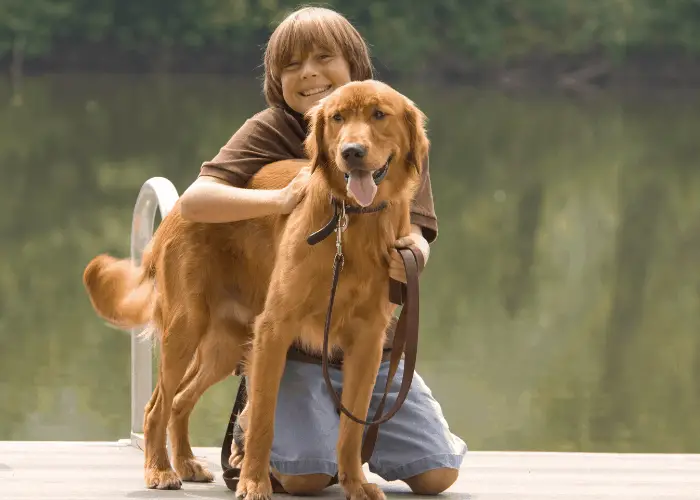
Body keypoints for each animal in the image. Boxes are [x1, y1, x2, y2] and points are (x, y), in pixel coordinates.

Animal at [85, 79, 430, 500]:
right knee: (158, 406)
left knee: (180, 400)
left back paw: (185, 462)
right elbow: (263, 419)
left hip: (227, 344)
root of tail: (182, 203)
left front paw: (355, 483)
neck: (351, 222)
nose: (352, 152)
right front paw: (253, 482)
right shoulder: (274, 329)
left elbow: (352, 427)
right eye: (337, 117)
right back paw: (160, 469)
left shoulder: (366, 341)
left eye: (379, 114)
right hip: (186, 327)